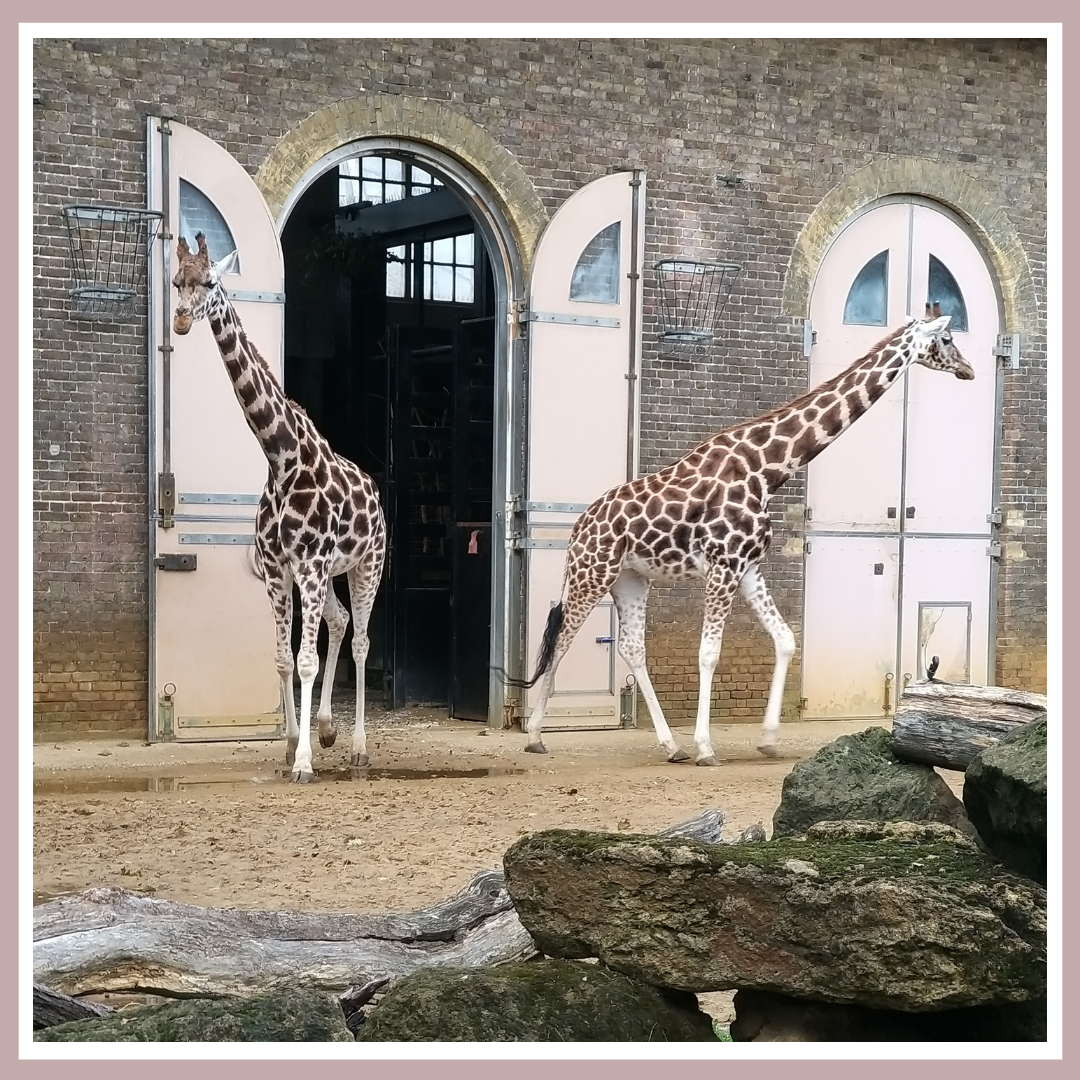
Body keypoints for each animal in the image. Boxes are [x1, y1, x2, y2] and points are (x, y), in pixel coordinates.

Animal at [170, 232, 386, 781]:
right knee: (339, 620)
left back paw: (358, 748)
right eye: (176, 280)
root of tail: (374, 490)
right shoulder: (278, 567)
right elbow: (284, 660)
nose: (180, 319)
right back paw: (327, 729)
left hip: (367, 564)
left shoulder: (308, 564)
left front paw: (305, 761)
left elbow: (307, 660)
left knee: (360, 640)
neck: (282, 457)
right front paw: (292, 744)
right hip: (328, 572)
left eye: (210, 281)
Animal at [509, 304, 976, 764]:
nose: (969, 369)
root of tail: (580, 525)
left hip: (631, 578)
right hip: (592, 573)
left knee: (631, 648)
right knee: (562, 638)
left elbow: (786, 640)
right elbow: (708, 654)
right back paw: (535, 736)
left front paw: (767, 739)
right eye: (947, 339)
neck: (767, 470)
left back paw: (671, 745)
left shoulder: (748, 567)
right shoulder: (723, 566)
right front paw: (706, 746)